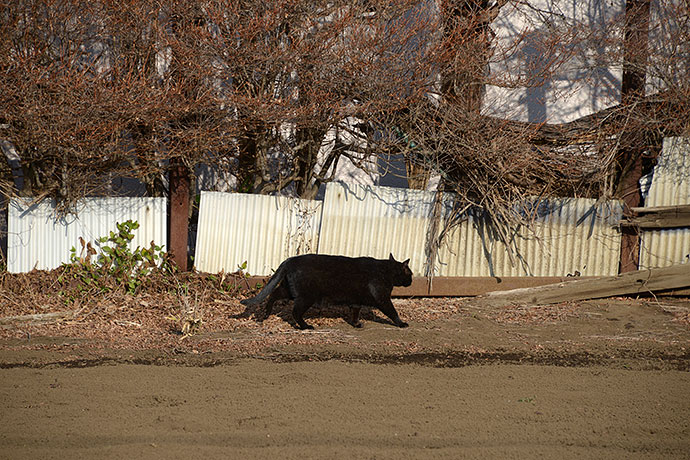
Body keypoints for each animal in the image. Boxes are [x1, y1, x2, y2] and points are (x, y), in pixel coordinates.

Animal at [241, 253, 412, 328]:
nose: (411, 281)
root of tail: (290, 260)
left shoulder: (356, 300)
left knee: (274, 294)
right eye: (410, 274)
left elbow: (355, 312)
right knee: (295, 312)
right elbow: (392, 311)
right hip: (306, 296)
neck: (387, 271)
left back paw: (266, 314)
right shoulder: (382, 298)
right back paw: (305, 326)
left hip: (289, 290)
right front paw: (401, 323)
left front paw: (356, 324)